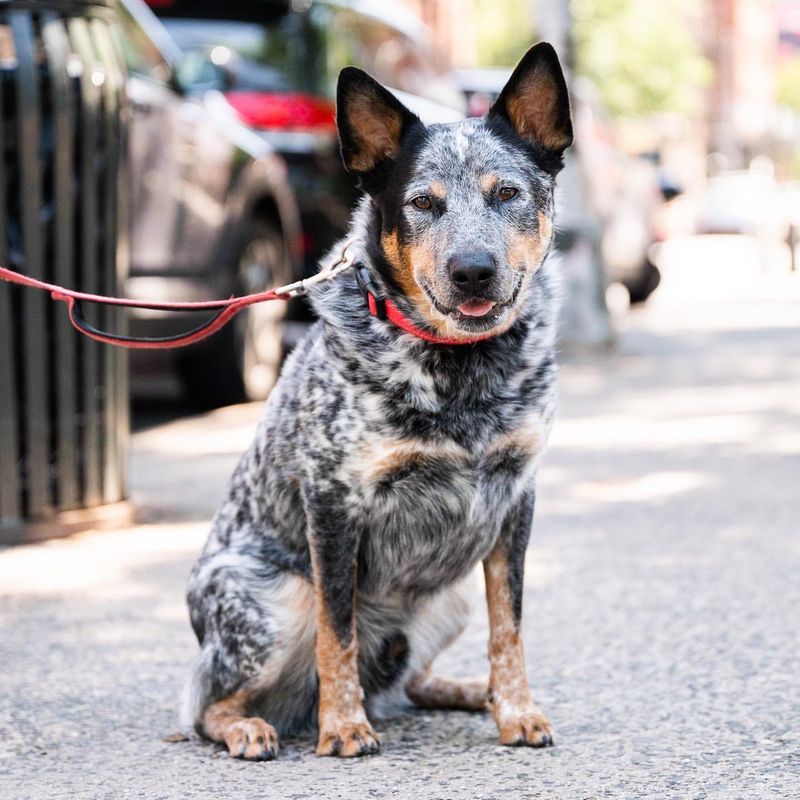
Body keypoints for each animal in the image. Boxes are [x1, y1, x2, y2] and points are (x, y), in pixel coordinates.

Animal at [183, 40, 568, 760]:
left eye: (507, 193)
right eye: (422, 203)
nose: (473, 270)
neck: (462, 372)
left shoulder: (515, 501)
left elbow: (511, 624)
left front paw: (516, 709)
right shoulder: (334, 504)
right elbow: (338, 629)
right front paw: (342, 726)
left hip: (448, 599)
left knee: (412, 679)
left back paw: (471, 691)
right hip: (271, 602)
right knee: (204, 705)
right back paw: (253, 726)